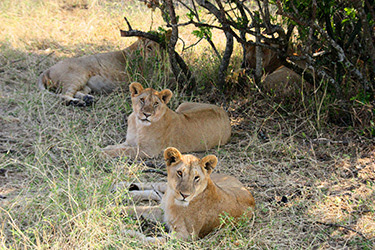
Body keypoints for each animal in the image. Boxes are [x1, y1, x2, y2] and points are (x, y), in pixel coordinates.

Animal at [100, 82, 232, 158]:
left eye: (156, 103)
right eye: (142, 100)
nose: (147, 114)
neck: (138, 125)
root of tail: (224, 112)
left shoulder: (148, 151)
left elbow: (122, 151)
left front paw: (102, 154)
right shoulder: (129, 142)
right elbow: (116, 146)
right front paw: (102, 148)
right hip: (183, 105)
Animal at [117, 146, 258, 242]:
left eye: (196, 177)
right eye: (180, 173)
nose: (184, 195)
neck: (172, 201)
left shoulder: (186, 236)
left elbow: (150, 240)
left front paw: (126, 234)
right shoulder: (162, 211)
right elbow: (134, 208)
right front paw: (112, 209)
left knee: (155, 192)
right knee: (155, 186)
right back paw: (120, 187)